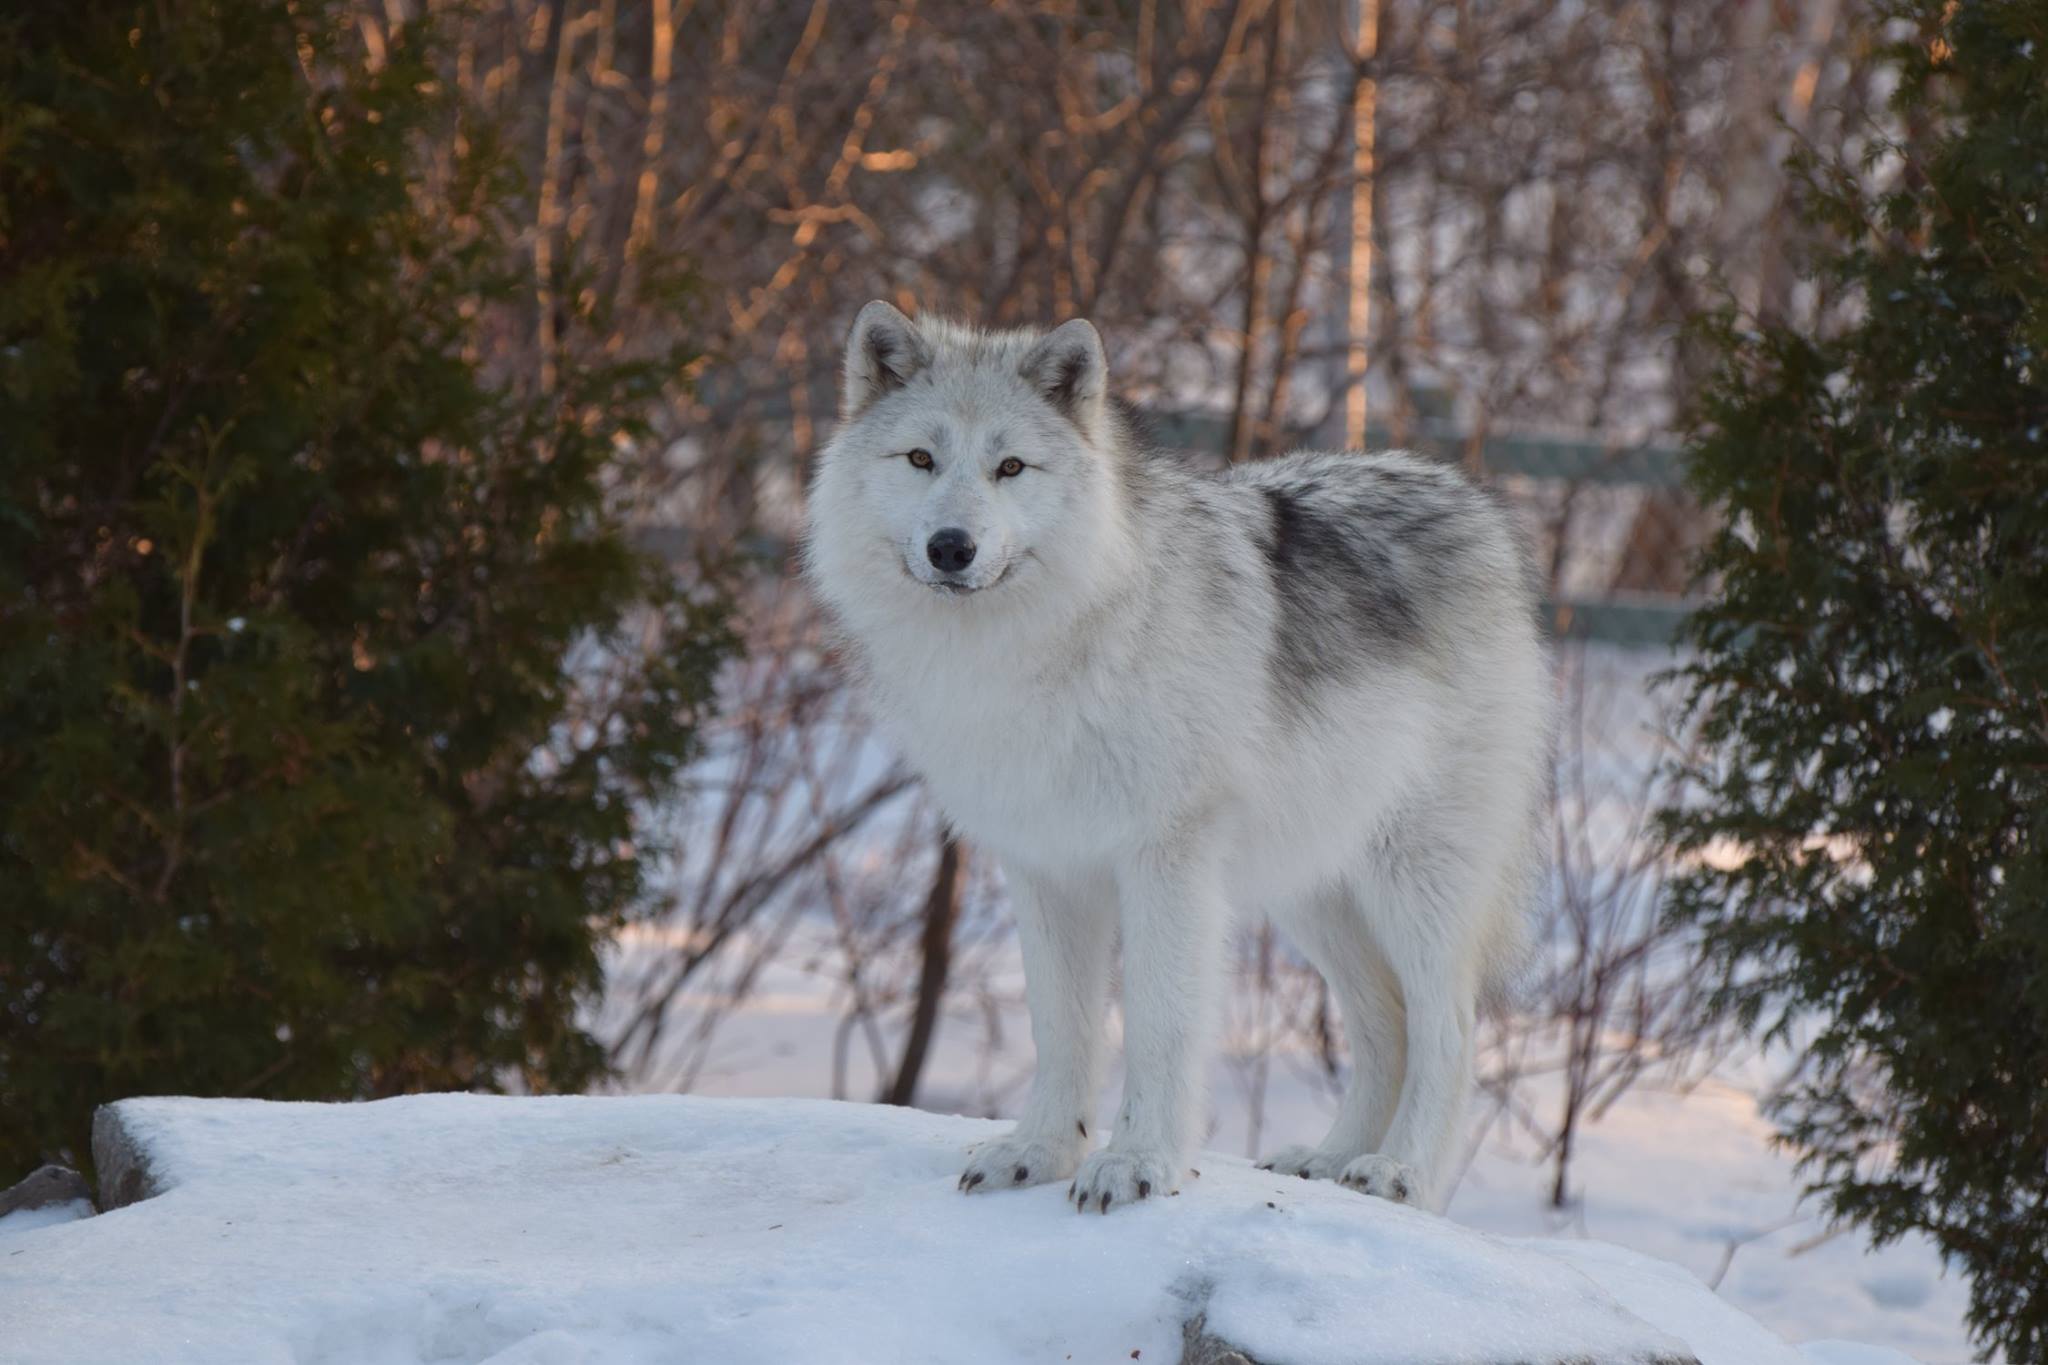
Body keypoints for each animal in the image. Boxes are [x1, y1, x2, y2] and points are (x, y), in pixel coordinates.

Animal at [798, 304, 1548, 1211]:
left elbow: (1158, 1021)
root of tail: (1467, 497)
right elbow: (1061, 1026)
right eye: (920, 458)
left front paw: (1137, 1164)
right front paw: (1038, 1153)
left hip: (1414, 884)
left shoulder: (1166, 862)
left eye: (1010, 467)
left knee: (1451, 1027)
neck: (1036, 651)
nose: (951, 546)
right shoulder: (1043, 868)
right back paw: (1329, 1161)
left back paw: (1397, 1173)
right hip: (1316, 892)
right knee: (1386, 1026)